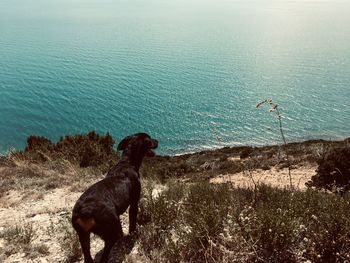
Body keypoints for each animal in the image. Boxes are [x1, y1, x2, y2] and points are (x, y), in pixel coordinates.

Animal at [72, 134, 158, 263]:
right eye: (150, 139)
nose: (157, 140)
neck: (127, 162)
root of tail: (85, 211)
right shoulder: (134, 202)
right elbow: (132, 222)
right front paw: (133, 235)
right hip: (113, 230)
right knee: (107, 251)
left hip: (83, 236)